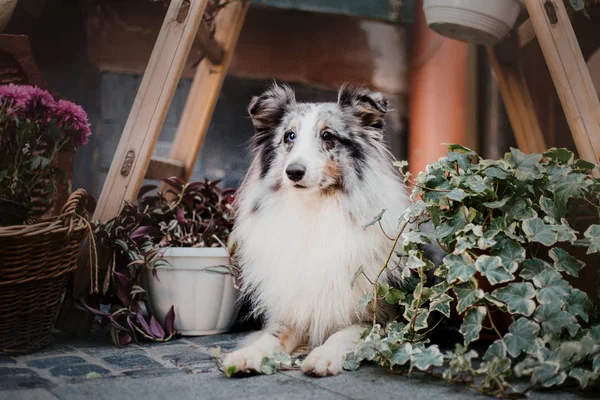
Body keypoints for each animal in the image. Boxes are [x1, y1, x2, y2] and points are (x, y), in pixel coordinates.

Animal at [223, 83, 410, 376]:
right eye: (289, 136)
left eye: (327, 135)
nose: (294, 171)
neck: (315, 208)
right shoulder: (294, 311)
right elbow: (271, 336)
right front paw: (246, 355)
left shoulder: (380, 318)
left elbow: (345, 333)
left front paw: (323, 356)